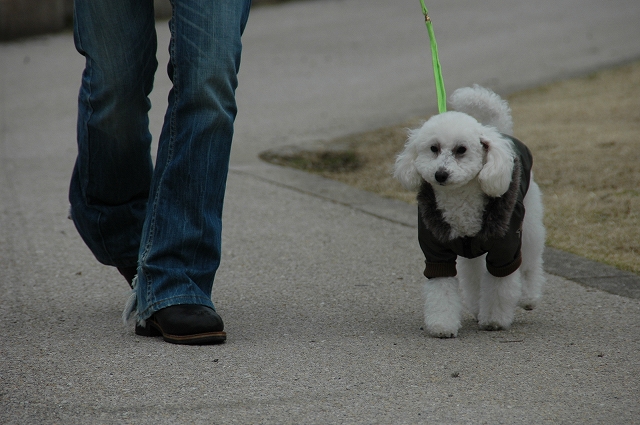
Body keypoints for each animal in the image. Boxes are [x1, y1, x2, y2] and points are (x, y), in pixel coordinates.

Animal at [396, 85, 544, 338]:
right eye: (433, 148)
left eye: (461, 150)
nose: (440, 174)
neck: (460, 200)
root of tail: (499, 131)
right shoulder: (437, 251)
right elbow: (442, 288)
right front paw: (442, 325)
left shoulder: (505, 248)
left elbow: (500, 284)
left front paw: (494, 320)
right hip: (472, 252)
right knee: (474, 277)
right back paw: (477, 307)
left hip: (529, 221)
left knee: (531, 261)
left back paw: (529, 298)